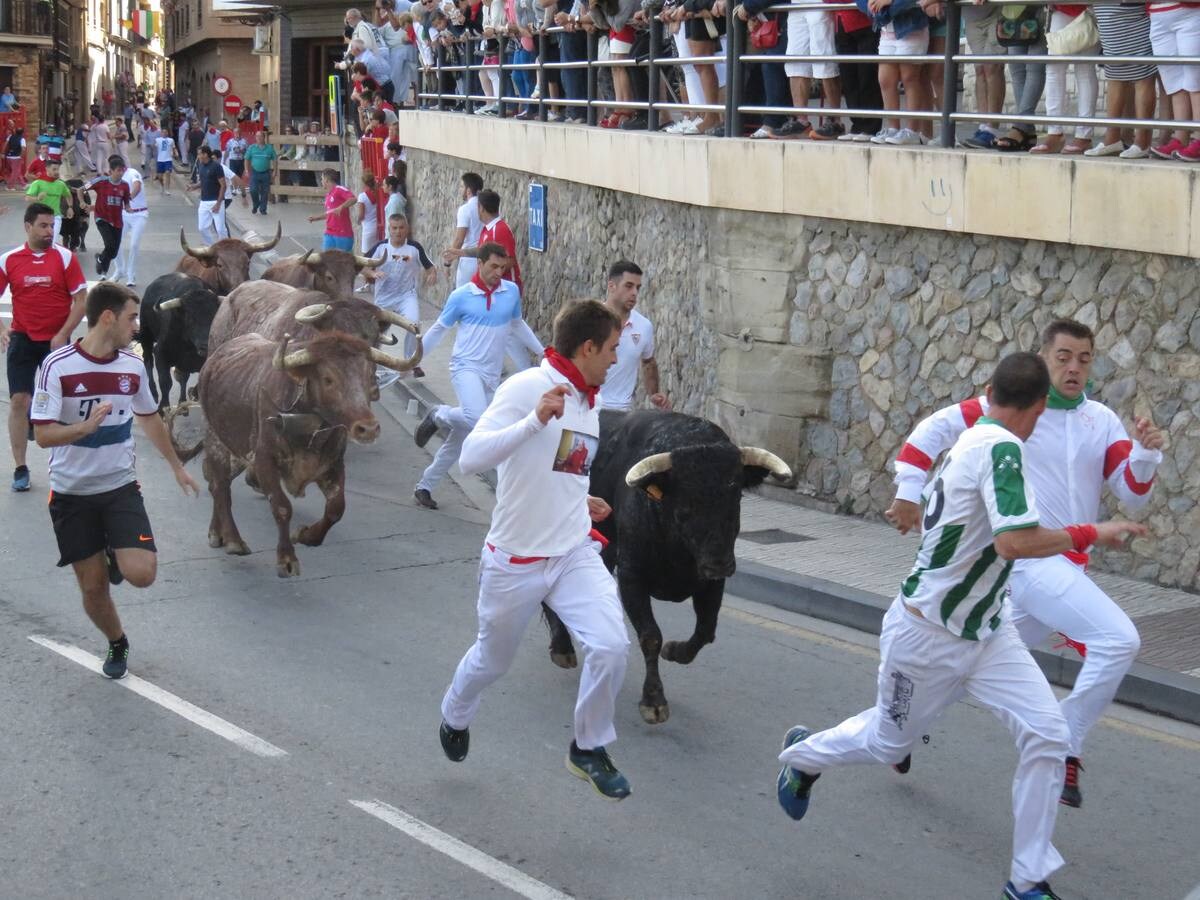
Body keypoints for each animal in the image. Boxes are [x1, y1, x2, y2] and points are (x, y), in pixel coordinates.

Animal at [190, 324, 422, 578]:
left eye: (368, 375)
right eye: (328, 379)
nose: (368, 428)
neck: (309, 425)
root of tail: (213, 360)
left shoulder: (333, 464)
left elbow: (336, 508)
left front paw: (306, 535)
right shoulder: (264, 462)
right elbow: (282, 507)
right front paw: (287, 559)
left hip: (237, 451)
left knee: (216, 484)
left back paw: (217, 532)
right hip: (216, 440)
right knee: (220, 486)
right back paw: (232, 540)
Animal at [542, 412, 787, 729]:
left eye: (736, 496)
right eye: (686, 505)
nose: (720, 563)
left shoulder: (711, 583)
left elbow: (705, 630)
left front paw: (676, 651)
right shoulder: (632, 576)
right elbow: (650, 636)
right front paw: (654, 701)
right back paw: (562, 646)